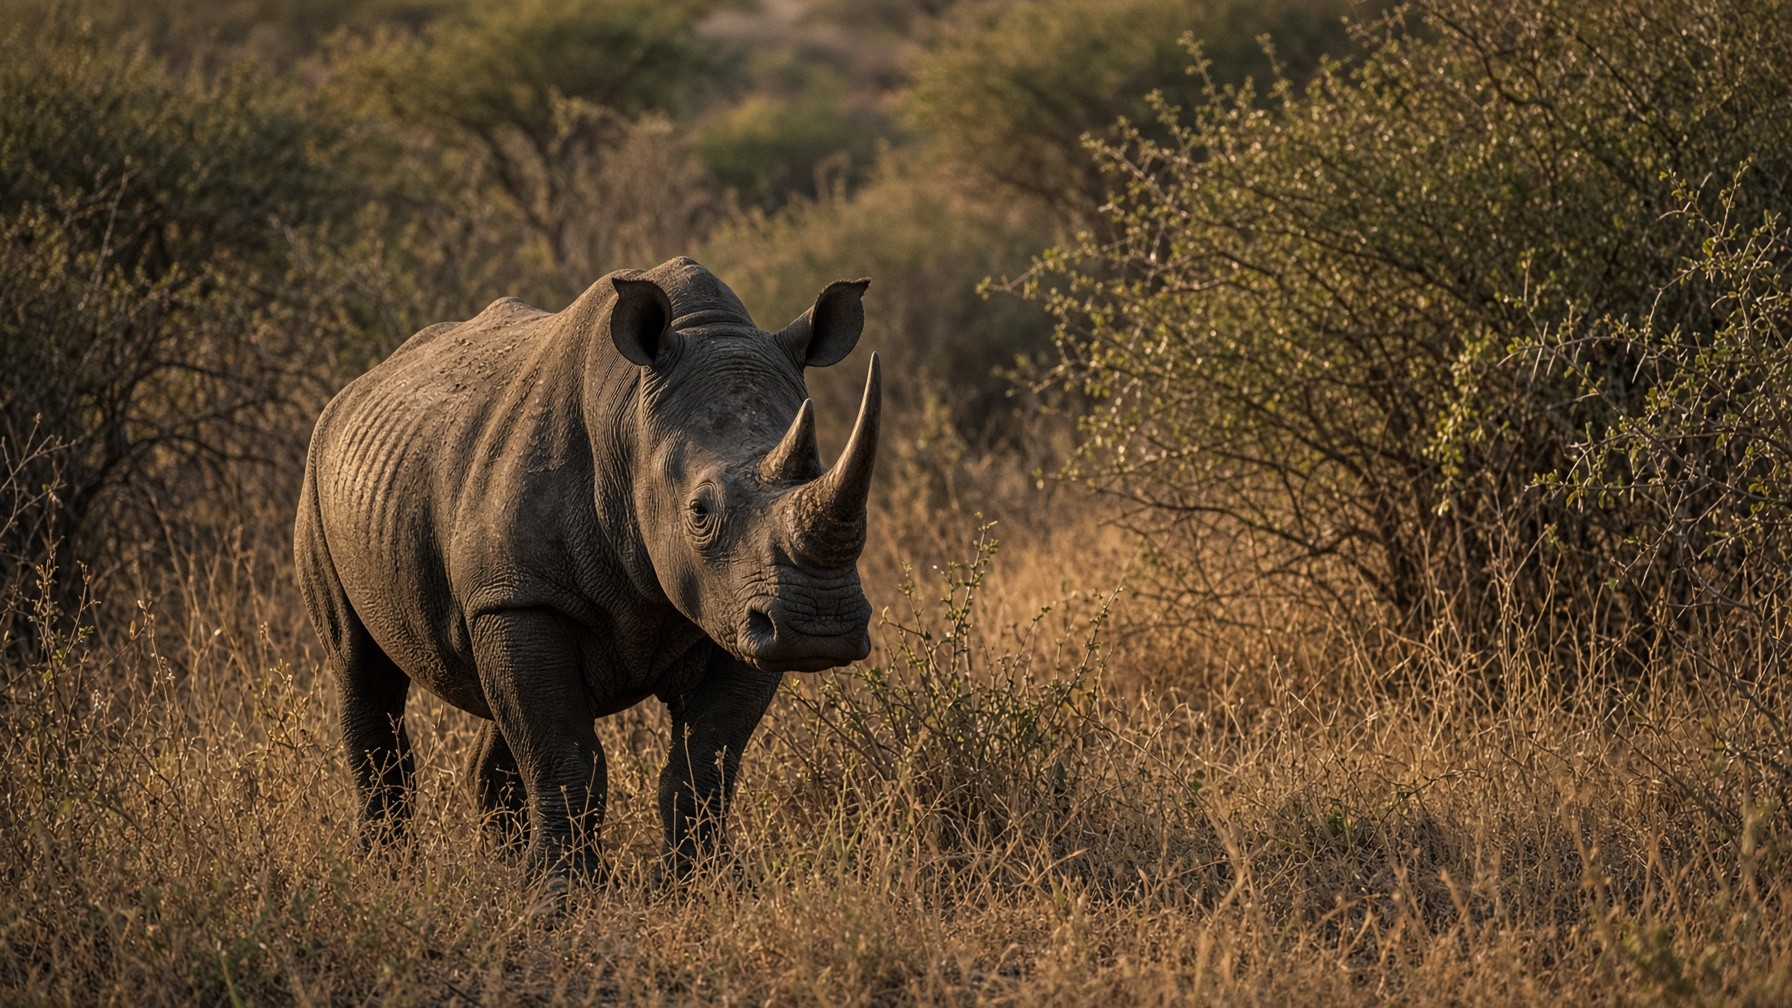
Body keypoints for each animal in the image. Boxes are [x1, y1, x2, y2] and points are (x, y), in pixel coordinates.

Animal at [294, 257, 880, 881]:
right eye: (699, 511)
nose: (819, 625)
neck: (632, 429)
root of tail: (357, 386)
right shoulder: (521, 596)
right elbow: (563, 756)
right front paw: (560, 893)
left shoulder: (739, 611)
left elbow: (705, 761)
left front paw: (702, 885)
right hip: (320, 474)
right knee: (359, 665)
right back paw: (388, 873)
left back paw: (501, 867)